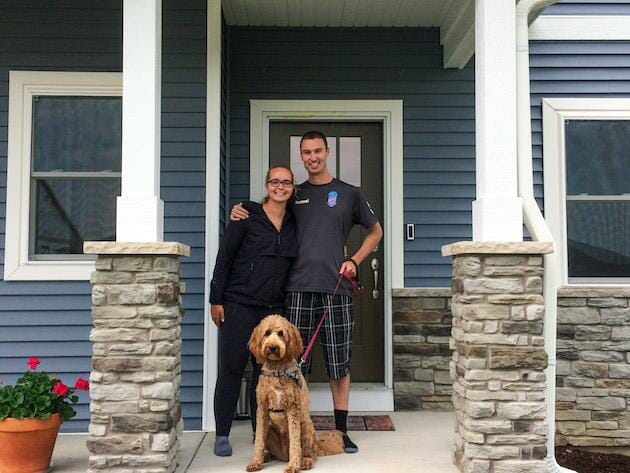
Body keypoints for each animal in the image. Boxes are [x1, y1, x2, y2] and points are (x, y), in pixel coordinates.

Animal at [247, 314, 346, 472]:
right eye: (267, 333)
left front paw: (293, 466)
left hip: (305, 427)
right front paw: (255, 462)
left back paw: (304, 461)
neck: (277, 370)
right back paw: (266, 456)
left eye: (281, 333)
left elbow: (294, 443)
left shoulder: (293, 409)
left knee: (310, 454)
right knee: (268, 447)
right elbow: (258, 443)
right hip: (266, 430)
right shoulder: (261, 409)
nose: (273, 347)